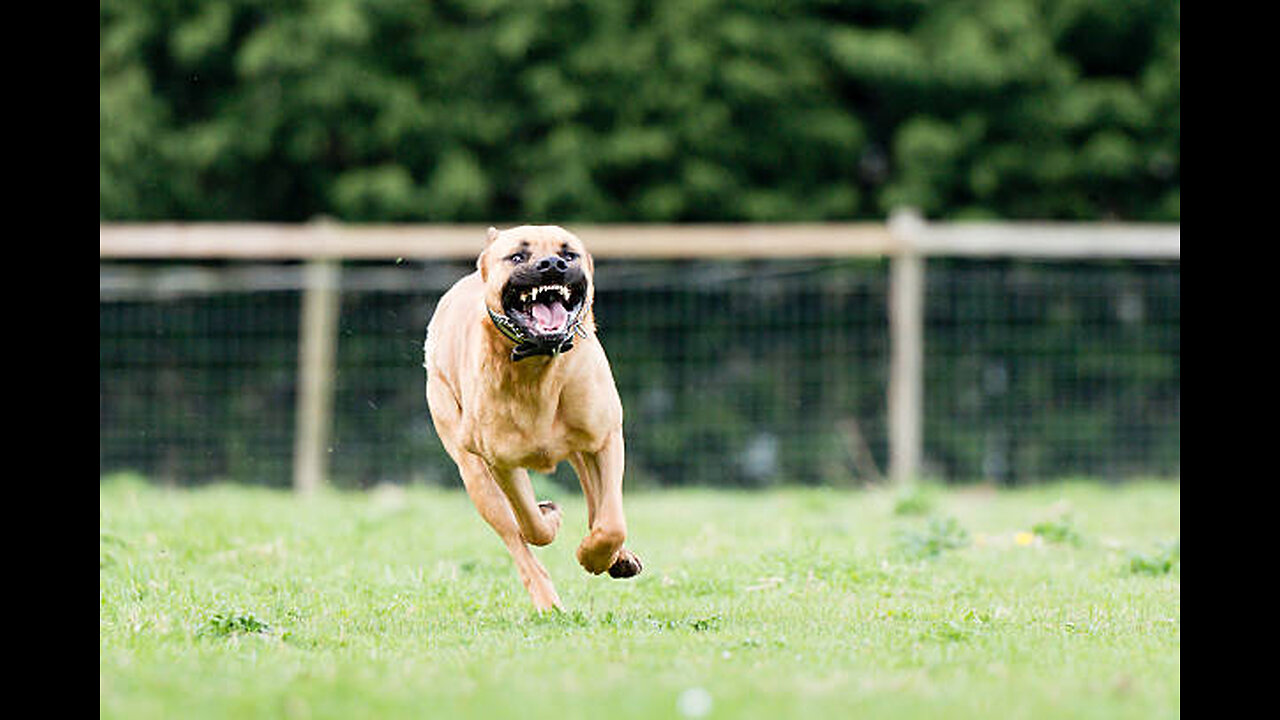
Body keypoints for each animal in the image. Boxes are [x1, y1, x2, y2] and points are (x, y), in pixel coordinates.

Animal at [424, 225, 640, 609]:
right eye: (517, 256)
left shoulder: (605, 438)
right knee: (516, 538)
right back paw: (548, 602)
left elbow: (611, 522)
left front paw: (595, 555)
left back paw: (617, 557)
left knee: (597, 502)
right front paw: (549, 517)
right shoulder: (500, 462)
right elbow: (531, 527)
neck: (537, 364)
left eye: (569, 254)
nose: (552, 264)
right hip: (474, 472)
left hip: (582, 450)